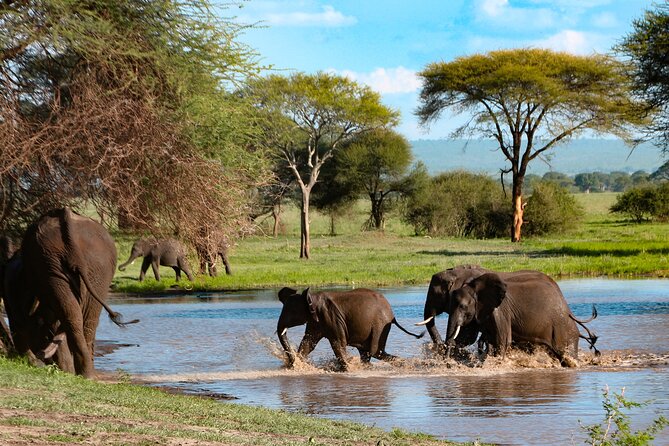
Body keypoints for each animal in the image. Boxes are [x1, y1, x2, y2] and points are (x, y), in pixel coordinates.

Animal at [8, 208, 138, 377]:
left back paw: (85, 374)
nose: (41, 354)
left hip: (58, 264)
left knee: (76, 315)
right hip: (87, 266)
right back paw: (87, 374)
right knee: (82, 317)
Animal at [277, 287, 424, 371]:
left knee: (375, 351)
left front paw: (347, 369)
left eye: (292, 312)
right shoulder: (315, 321)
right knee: (371, 352)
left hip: (381, 324)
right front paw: (296, 366)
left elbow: (338, 343)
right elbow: (308, 343)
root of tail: (392, 315)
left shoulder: (331, 318)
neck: (312, 298)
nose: (290, 364)